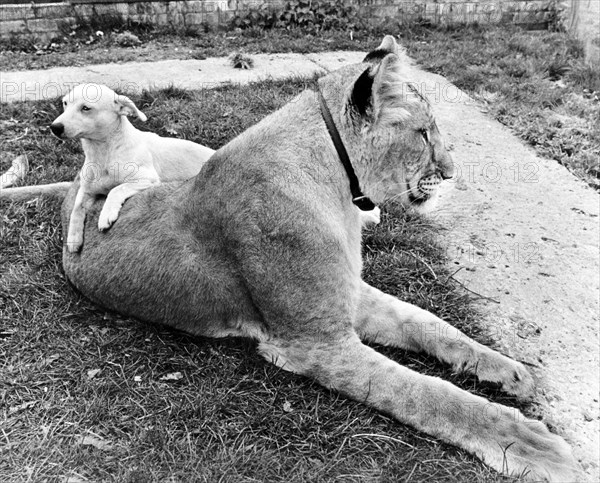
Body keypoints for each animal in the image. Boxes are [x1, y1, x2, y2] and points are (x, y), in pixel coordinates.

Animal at [49, 84, 214, 253]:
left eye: (86, 108)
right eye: (65, 103)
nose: (54, 127)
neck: (103, 153)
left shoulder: (147, 179)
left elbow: (116, 189)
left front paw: (106, 214)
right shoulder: (86, 189)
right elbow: (76, 208)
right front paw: (73, 238)